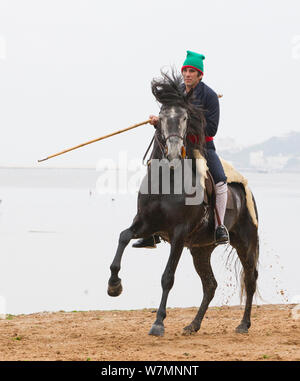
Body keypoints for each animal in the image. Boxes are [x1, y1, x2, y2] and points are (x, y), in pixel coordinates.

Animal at [107, 71, 258, 336]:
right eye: (162, 117)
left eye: (186, 117)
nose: (174, 153)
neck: (166, 179)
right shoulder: (145, 223)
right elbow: (123, 236)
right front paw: (114, 285)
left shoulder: (178, 234)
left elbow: (167, 277)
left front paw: (158, 323)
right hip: (201, 249)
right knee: (210, 285)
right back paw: (193, 324)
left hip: (244, 242)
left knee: (249, 280)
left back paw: (243, 324)